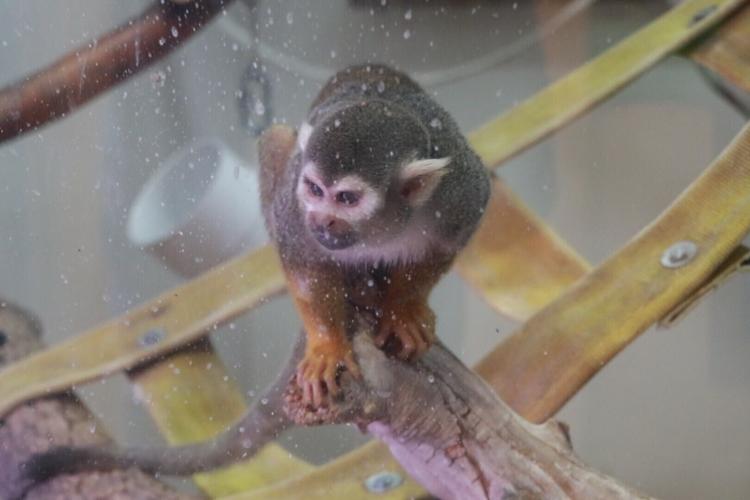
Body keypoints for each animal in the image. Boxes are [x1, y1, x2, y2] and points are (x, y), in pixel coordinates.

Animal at [19, 63, 490, 485]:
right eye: (315, 190)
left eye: (347, 198)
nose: (321, 221)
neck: (382, 227)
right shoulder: (296, 204)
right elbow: (301, 257)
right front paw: (327, 346)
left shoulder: (457, 193)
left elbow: (449, 241)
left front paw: (403, 309)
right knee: (277, 139)